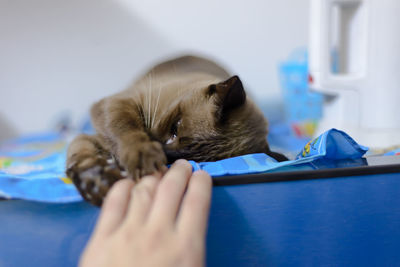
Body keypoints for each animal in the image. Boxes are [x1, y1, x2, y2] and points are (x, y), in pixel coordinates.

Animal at [68, 54, 288, 206]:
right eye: (174, 127)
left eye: (179, 159)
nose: (161, 149)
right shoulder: (117, 105)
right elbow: (118, 134)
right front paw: (100, 184)